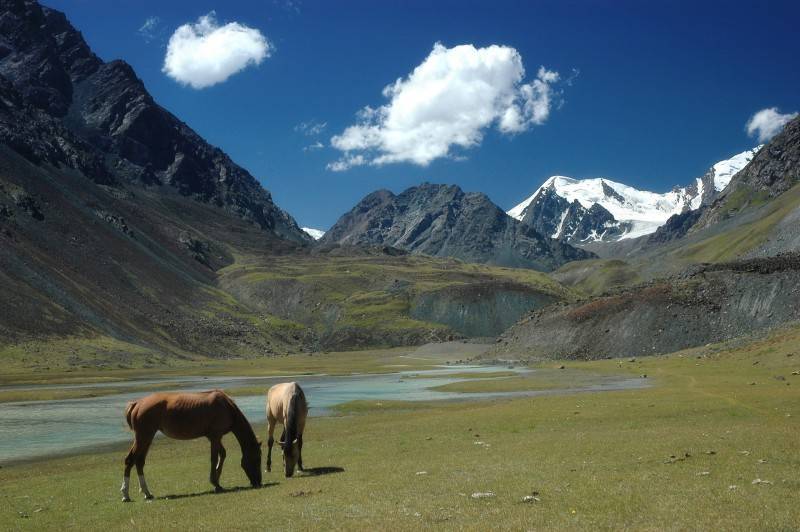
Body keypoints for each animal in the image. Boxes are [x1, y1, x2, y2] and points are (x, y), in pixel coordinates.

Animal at [121, 388, 262, 500]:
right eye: (257, 459)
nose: (258, 482)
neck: (227, 407)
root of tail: (137, 403)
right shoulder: (215, 437)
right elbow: (214, 458)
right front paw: (215, 483)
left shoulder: (214, 437)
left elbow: (222, 454)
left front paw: (217, 479)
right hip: (143, 437)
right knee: (130, 460)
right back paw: (125, 494)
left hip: (147, 438)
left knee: (139, 462)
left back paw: (147, 493)